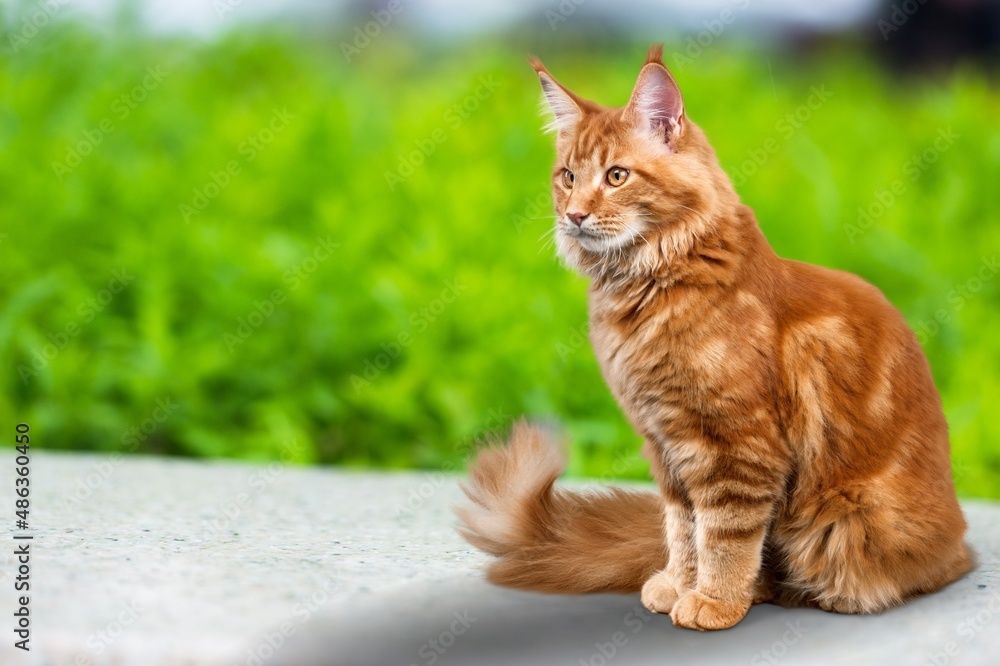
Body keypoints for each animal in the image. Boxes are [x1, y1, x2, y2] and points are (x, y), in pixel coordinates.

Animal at [458, 45, 972, 628]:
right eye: (567, 176)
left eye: (616, 176)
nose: (575, 214)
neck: (648, 284)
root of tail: (960, 547)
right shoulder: (667, 445)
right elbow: (683, 529)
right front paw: (680, 585)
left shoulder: (735, 447)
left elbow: (724, 536)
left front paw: (714, 601)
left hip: (843, 522)